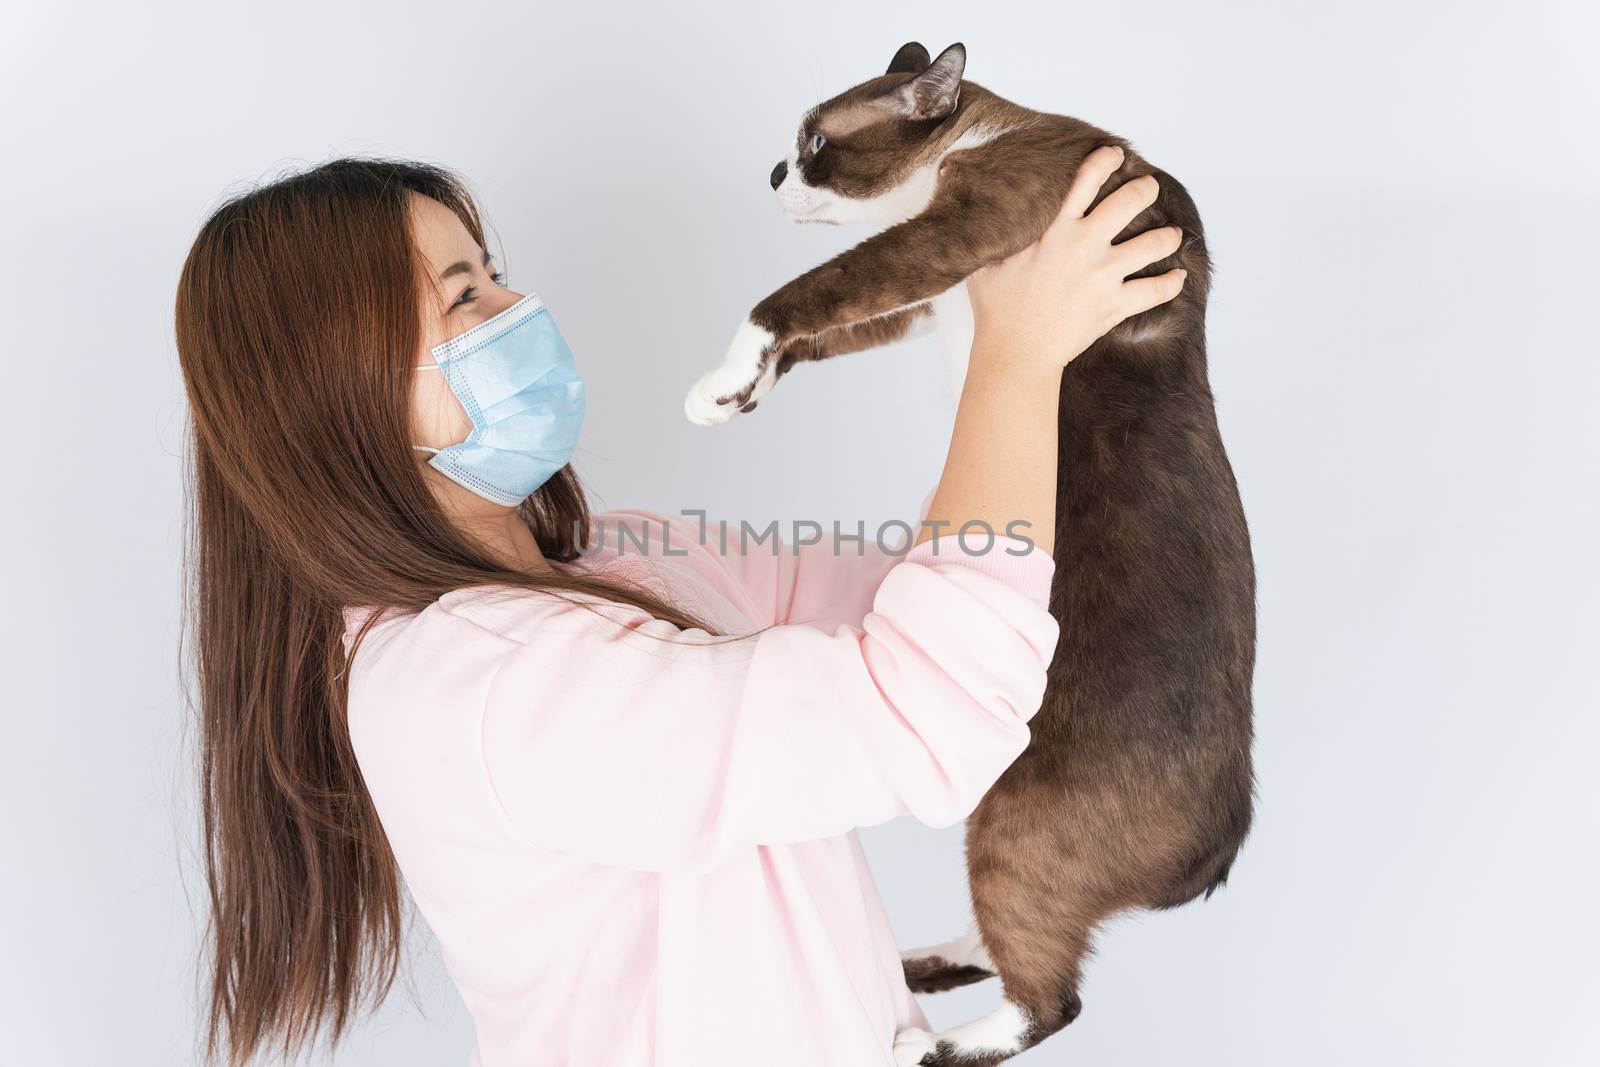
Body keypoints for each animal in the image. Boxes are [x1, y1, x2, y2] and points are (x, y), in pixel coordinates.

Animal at [681, 41, 1254, 1067]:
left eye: (817, 143)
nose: (776, 170)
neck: (986, 132)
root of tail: (1218, 850)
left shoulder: (954, 236)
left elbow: (792, 301)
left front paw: (726, 376)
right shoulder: (933, 299)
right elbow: (824, 326)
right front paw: (729, 394)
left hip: (1013, 827)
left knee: (1051, 999)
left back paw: (921, 1043)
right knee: (1010, 950)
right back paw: (914, 966)